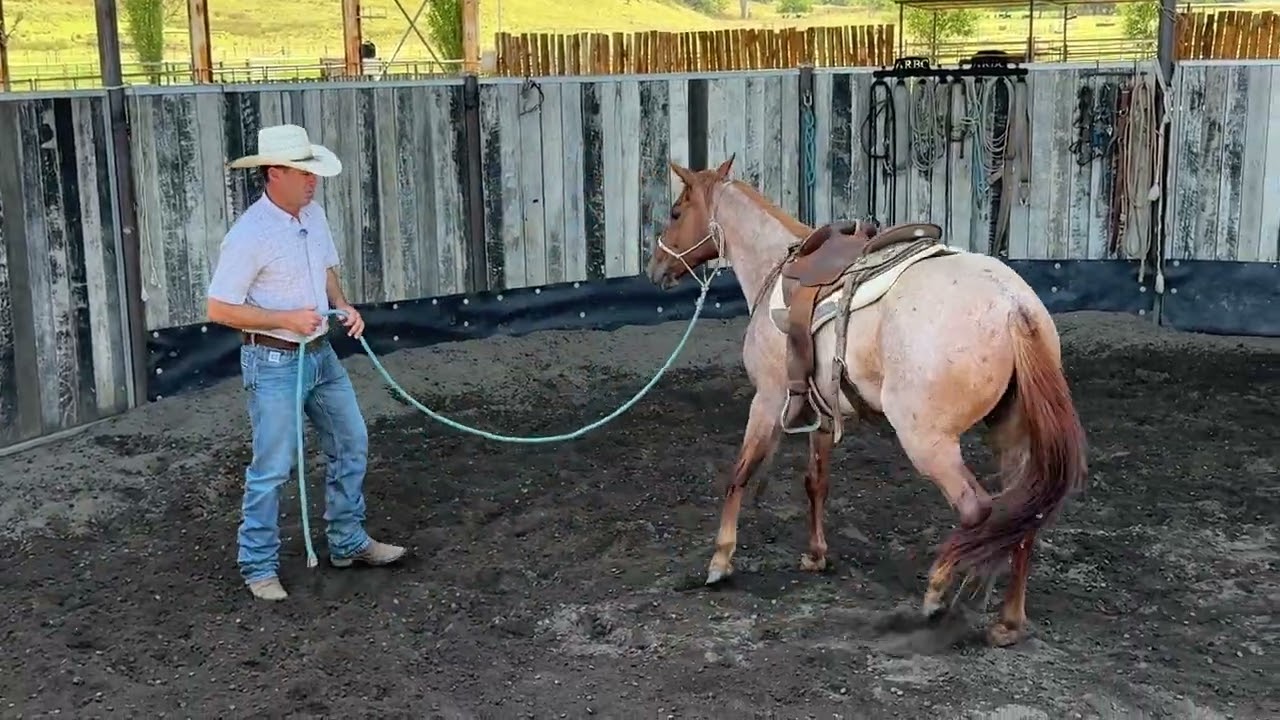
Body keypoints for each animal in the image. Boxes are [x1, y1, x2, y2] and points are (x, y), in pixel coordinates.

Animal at [645, 155, 1087, 648]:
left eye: (676, 213)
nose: (655, 268)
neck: (775, 267)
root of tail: (1014, 305)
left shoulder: (768, 399)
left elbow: (739, 474)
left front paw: (720, 562)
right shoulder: (818, 411)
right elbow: (815, 481)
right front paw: (816, 555)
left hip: (926, 439)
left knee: (977, 509)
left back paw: (939, 592)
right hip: (1008, 432)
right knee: (1023, 511)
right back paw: (1006, 619)